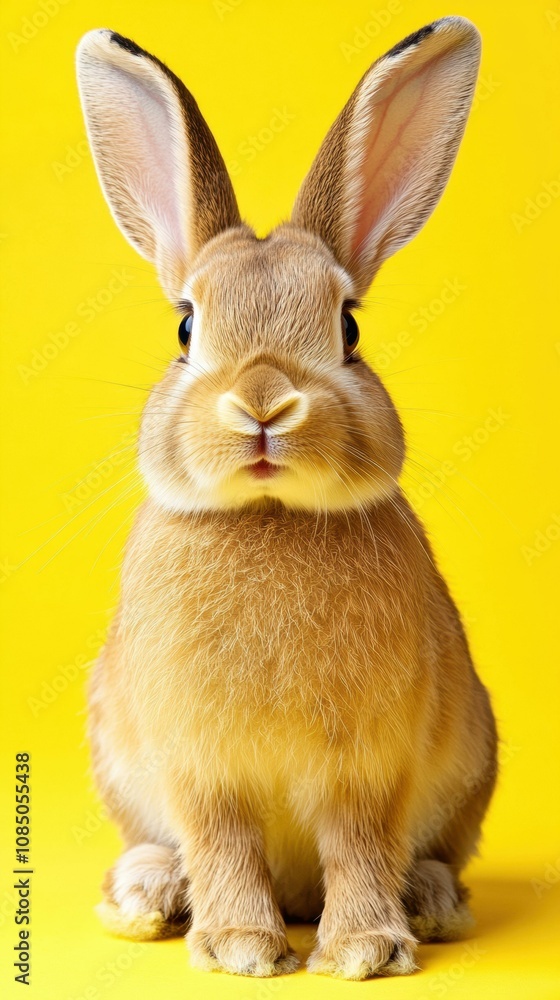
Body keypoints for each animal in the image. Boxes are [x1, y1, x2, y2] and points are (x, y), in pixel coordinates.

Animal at [76, 16, 498, 980]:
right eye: (185, 327)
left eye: (348, 327)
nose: (264, 401)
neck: (269, 519)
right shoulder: (200, 767)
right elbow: (224, 843)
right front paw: (239, 947)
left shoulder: (369, 768)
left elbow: (359, 842)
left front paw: (365, 951)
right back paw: (146, 895)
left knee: (425, 854)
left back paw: (431, 901)